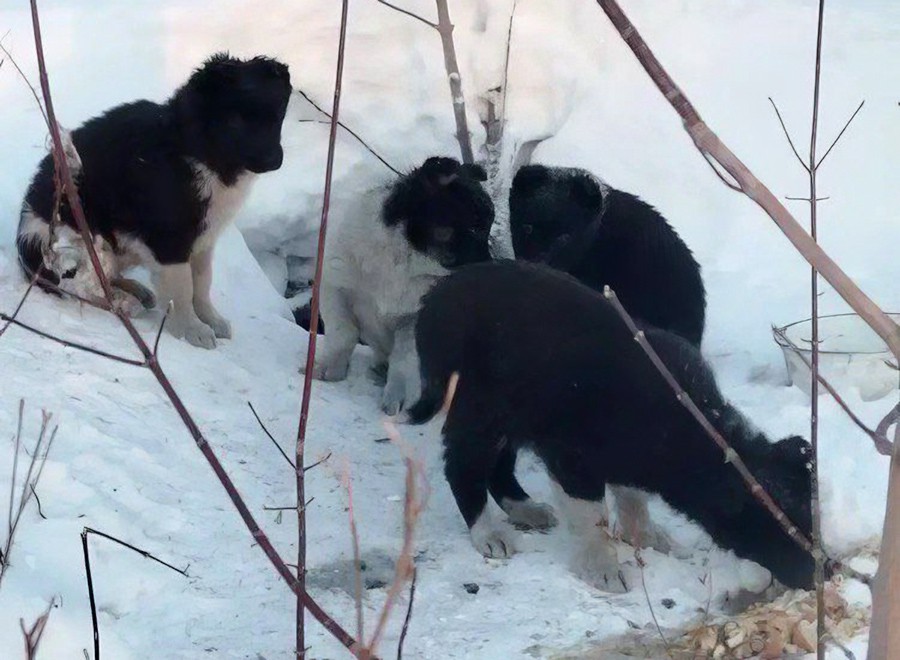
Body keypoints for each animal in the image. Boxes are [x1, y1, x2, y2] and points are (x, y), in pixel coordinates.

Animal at [16, 53, 292, 348]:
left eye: (277, 116)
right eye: (236, 121)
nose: (274, 160)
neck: (198, 150)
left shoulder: (203, 239)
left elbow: (202, 281)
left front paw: (210, 319)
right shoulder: (170, 241)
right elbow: (183, 287)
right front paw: (192, 329)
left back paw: (135, 291)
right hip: (84, 240)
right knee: (80, 286)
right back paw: (123, 302)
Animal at [303, 156, 494, 415]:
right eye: (476, 228)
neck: (405, 263)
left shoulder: (414, 321)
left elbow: (403, 360)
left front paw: (398, 395)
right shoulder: (336, 289)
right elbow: (343, 334)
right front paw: (327, 368)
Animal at [402, 260, 813, 591]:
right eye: (773, 527)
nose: (817, 578)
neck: (685, 427)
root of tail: (434, 299)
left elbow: (633, 501)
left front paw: (654, 541)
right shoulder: (572, 459)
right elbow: (592, 517)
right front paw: (606, 574)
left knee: (500, 466)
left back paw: (528, 511)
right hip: (478, 408)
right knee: (462, 465)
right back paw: (490, 537)